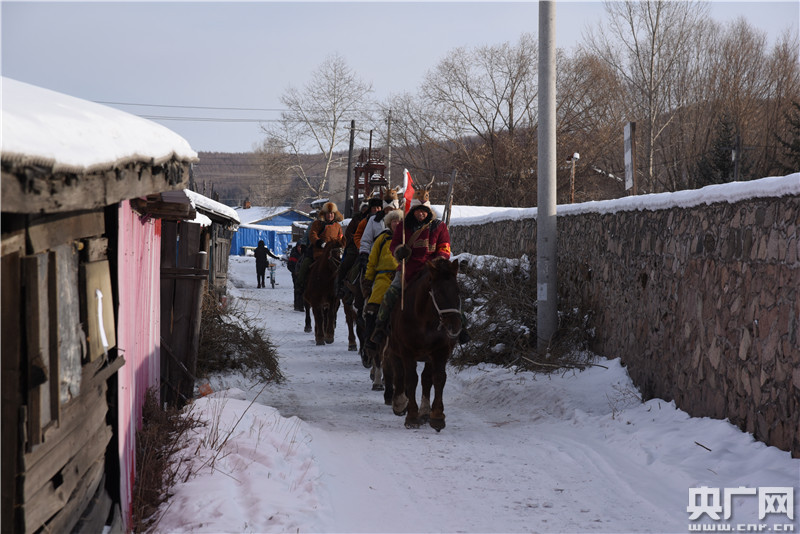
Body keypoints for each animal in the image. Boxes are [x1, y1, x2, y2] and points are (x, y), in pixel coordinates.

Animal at [382, 258, 462, 432]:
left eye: (458, 291)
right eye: (438, 293)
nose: (454, 326)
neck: (425, 320)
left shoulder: (440, 351)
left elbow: (438, 378)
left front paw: (437, 416)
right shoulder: (407, 351)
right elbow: (411, 379)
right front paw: (411, 416)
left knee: (426, 378)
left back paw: (425, 412)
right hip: (394, 348)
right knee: (398, 371)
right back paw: (399, 402)